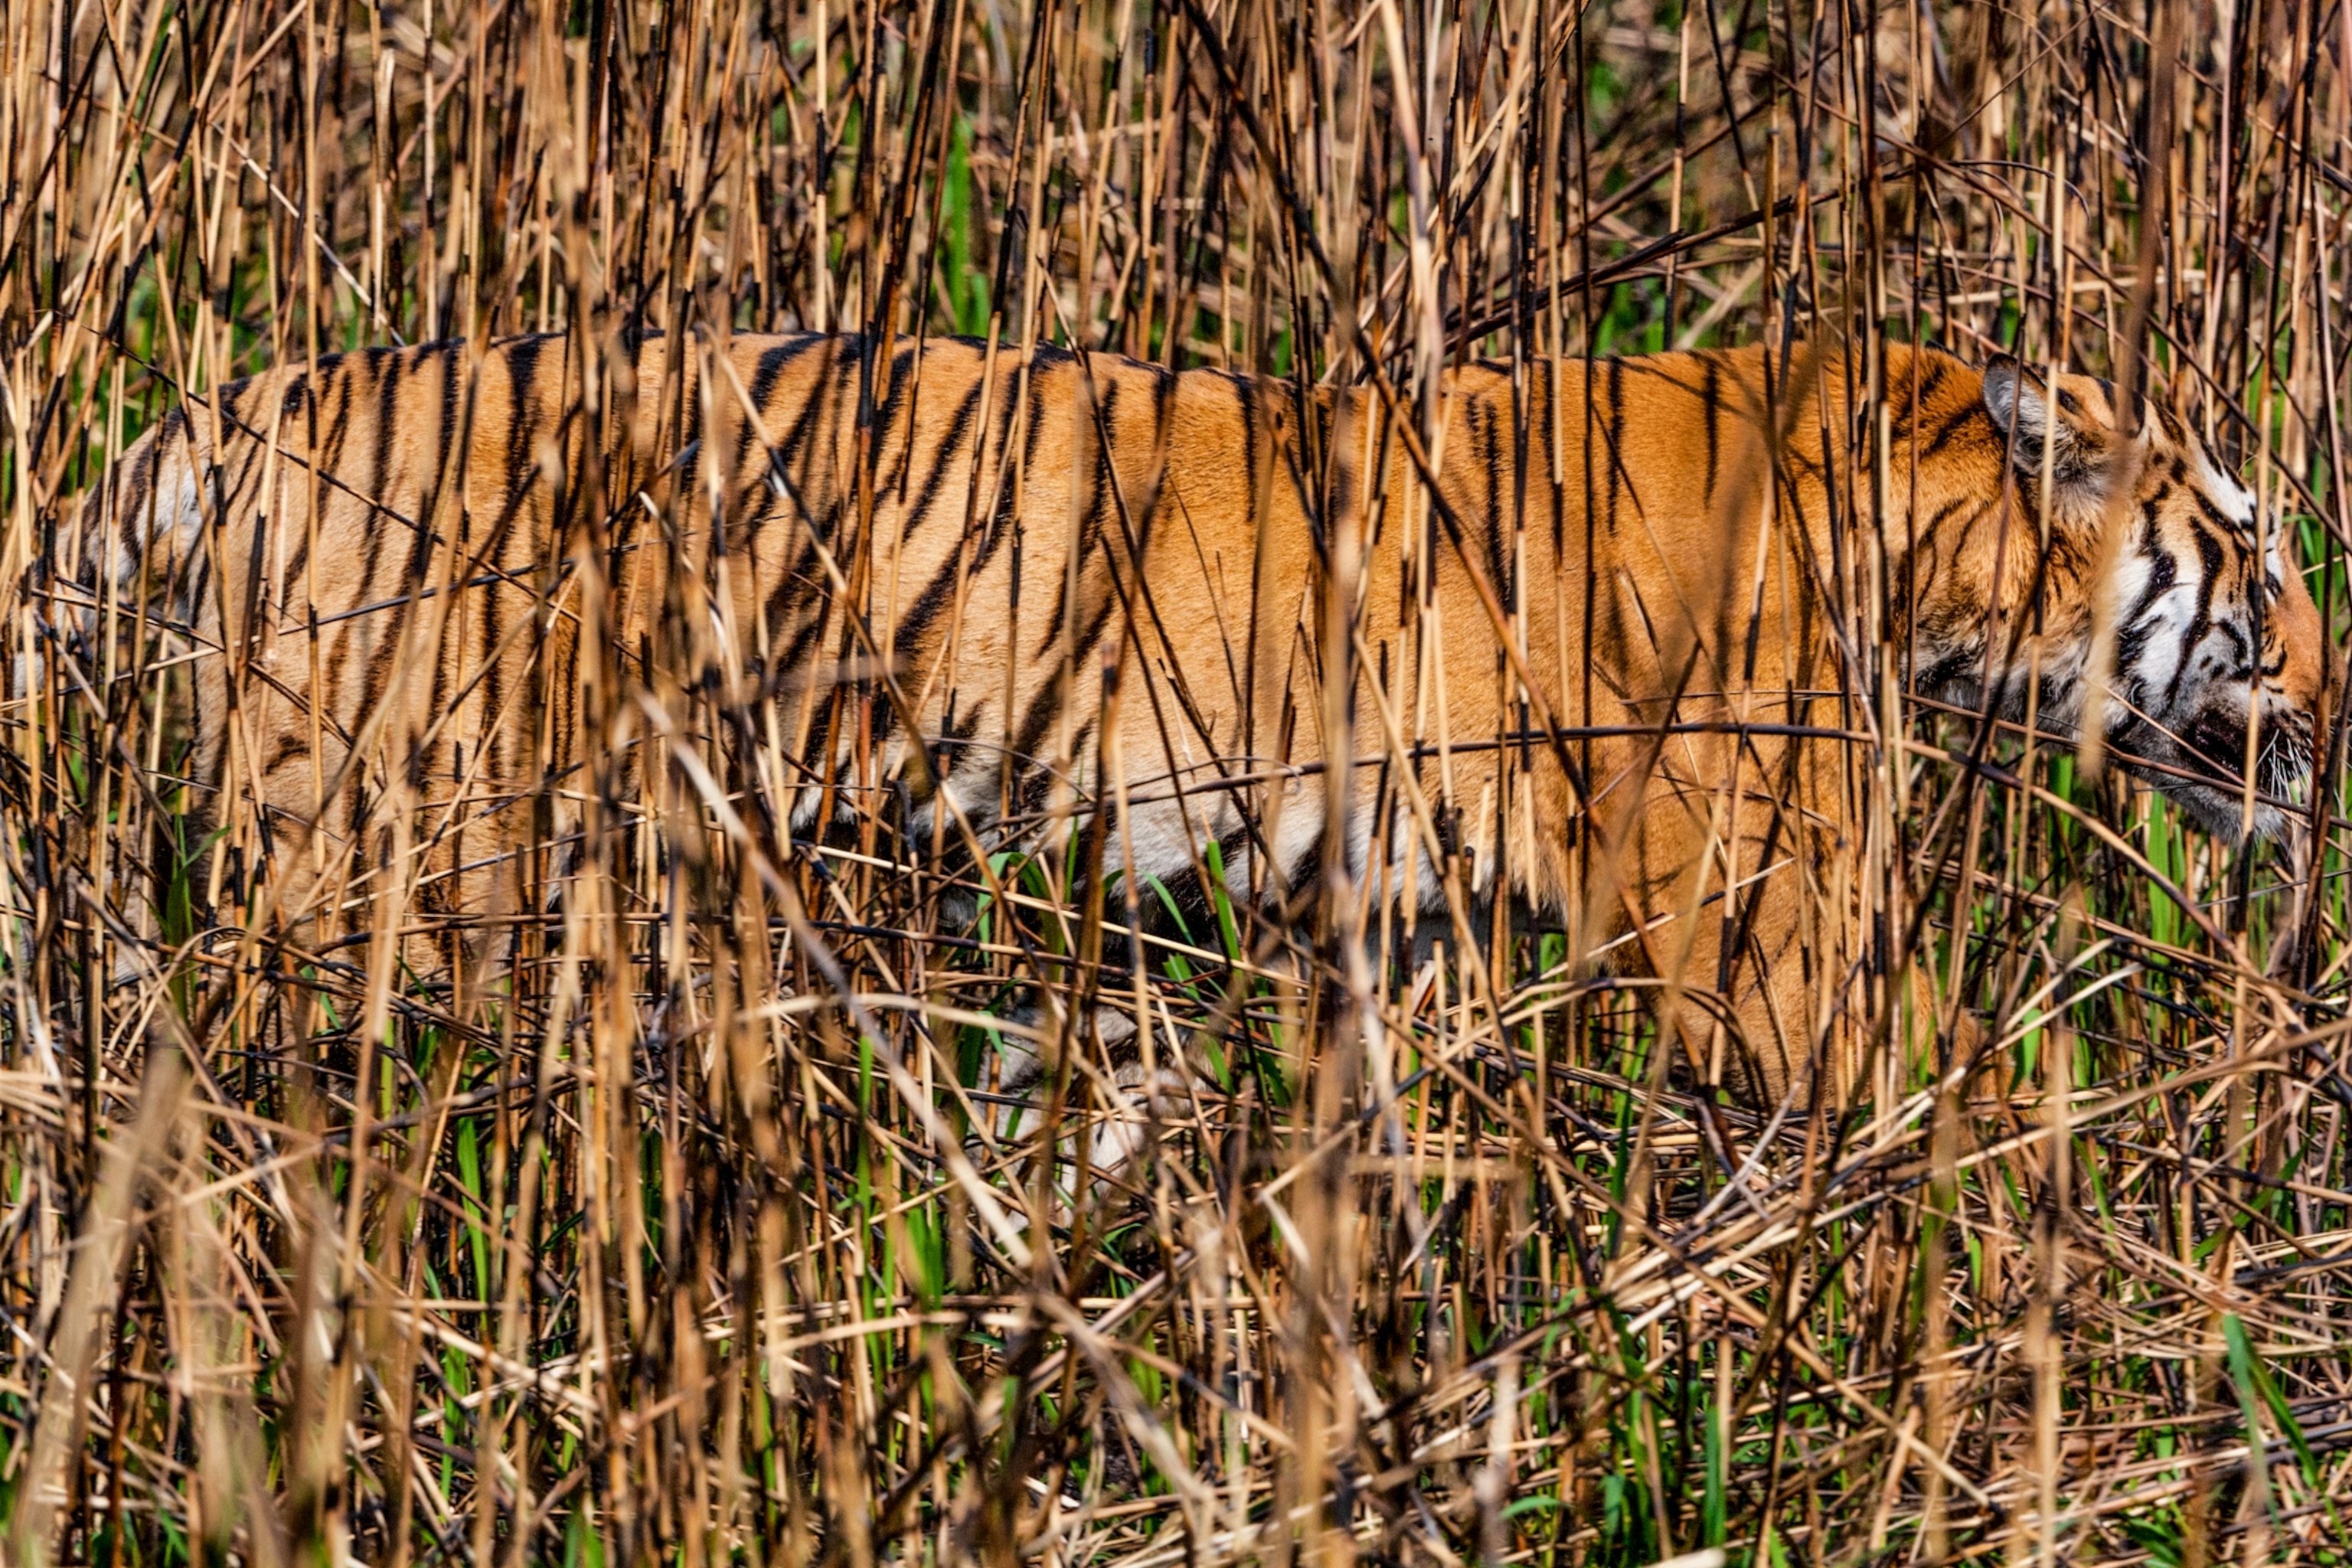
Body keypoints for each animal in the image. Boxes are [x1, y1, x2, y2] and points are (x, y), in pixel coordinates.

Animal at [85, 330, 2326, 1115]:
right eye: (2245, 540)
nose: (2331, 679)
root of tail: (227, 410)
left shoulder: (1416, 921)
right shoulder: (1759, 942)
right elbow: (1981, 1099)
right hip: (388, 842)